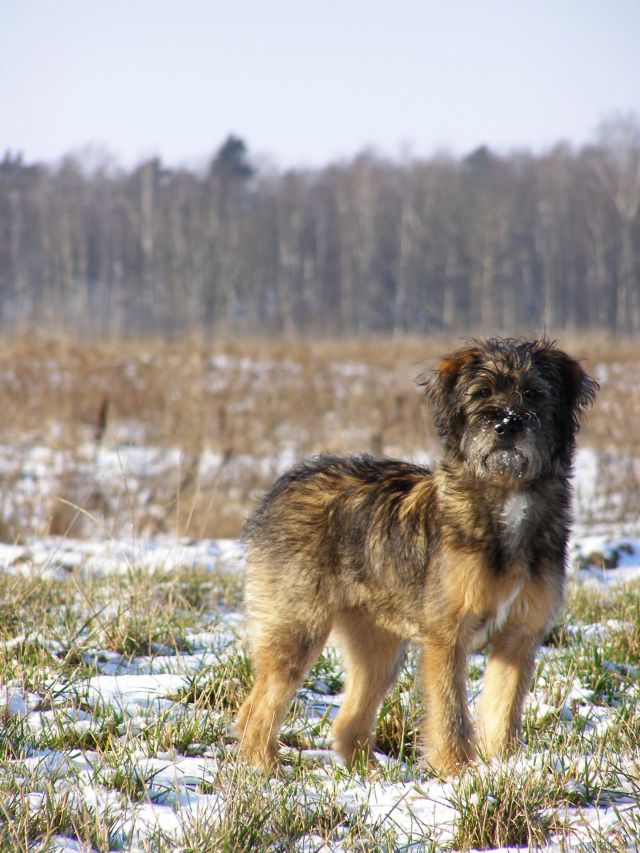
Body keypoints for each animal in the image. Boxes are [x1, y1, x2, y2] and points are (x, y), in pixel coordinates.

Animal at [235, 338, 597, 775]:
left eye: (533, 393)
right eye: (482, 393)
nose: (507, 424)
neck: (505, 496)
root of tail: (283, 485)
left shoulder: (519, 635)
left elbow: (502, 710)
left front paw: (505, 768)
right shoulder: (446, 635)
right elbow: (450, 712)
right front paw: (456, 772)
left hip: (378, 646)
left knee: (346, 720)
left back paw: (368, 776)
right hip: (296, 626)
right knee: (257, 710)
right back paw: (265, 769)